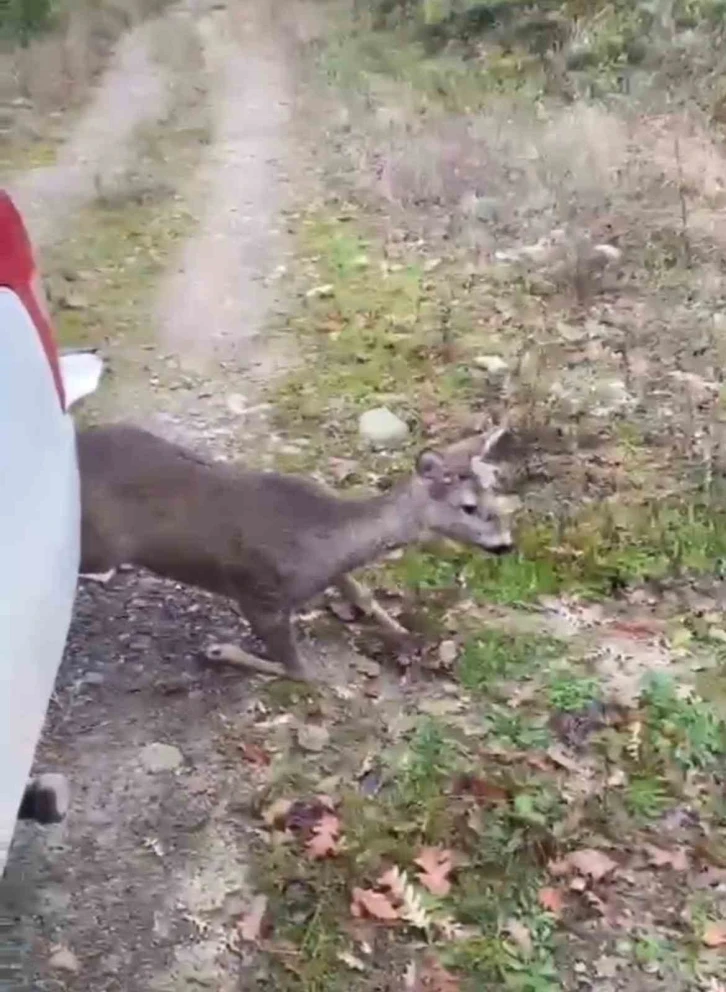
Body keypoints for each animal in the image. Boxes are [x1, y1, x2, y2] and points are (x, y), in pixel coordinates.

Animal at [77, 422, 516, 684]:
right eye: (468, 507)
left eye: (493, 490)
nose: (506, 544)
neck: (323, 539)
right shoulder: (259, 594)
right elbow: (301, 672)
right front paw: (221, 650)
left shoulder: (330, 570)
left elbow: (361, 593)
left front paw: (405, 632)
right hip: (99, 545)